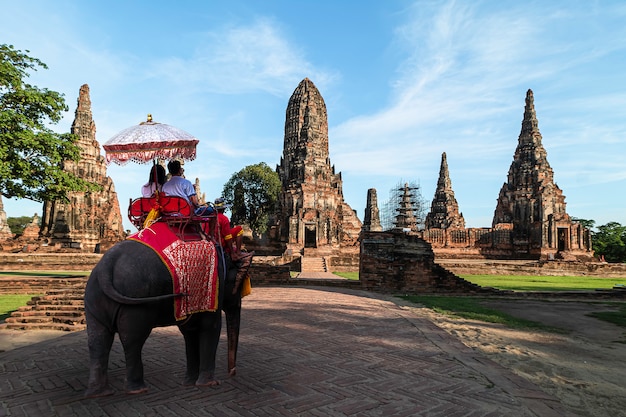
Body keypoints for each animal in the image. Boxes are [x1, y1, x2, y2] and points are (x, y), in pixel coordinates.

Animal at [81, 237, 241, 396]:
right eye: (239, 284)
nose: (232, 373)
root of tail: (107, 264)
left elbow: (189, 331)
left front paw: (189, 383)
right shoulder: (214, 285)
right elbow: (211, 326)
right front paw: (210, 383)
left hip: (93, 298)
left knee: (97, 340)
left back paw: (100, 393)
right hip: (135, 301)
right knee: (132, 340)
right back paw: (137, 390)